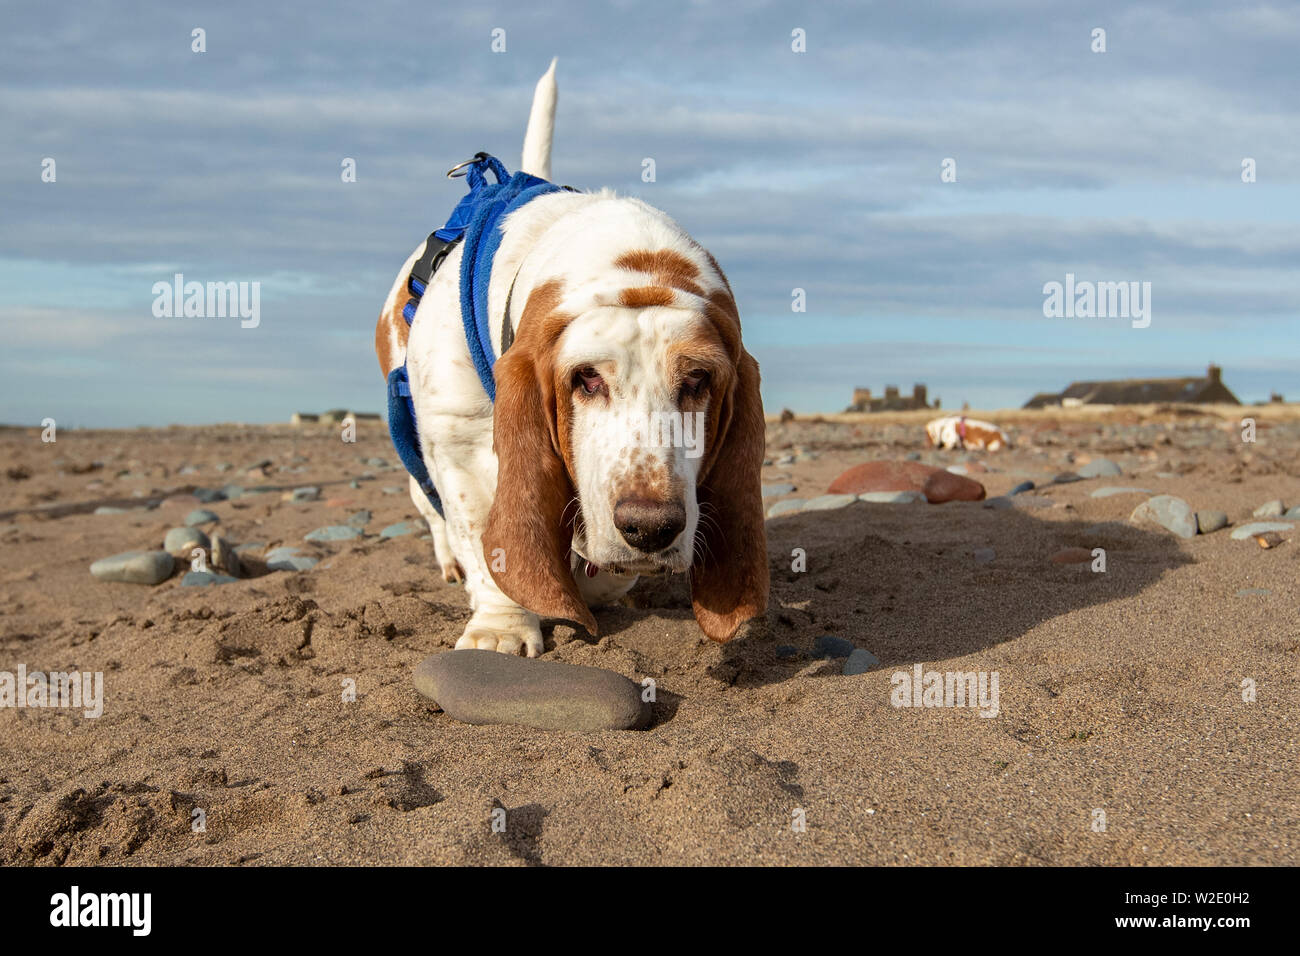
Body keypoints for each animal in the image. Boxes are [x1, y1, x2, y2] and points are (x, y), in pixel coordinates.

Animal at [371, 61, 764, 658]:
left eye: (698, 379)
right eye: (586, 379)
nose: (650, 528)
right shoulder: (459, 441)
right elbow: (483, 538)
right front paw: (501, 631)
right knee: (431, 509)